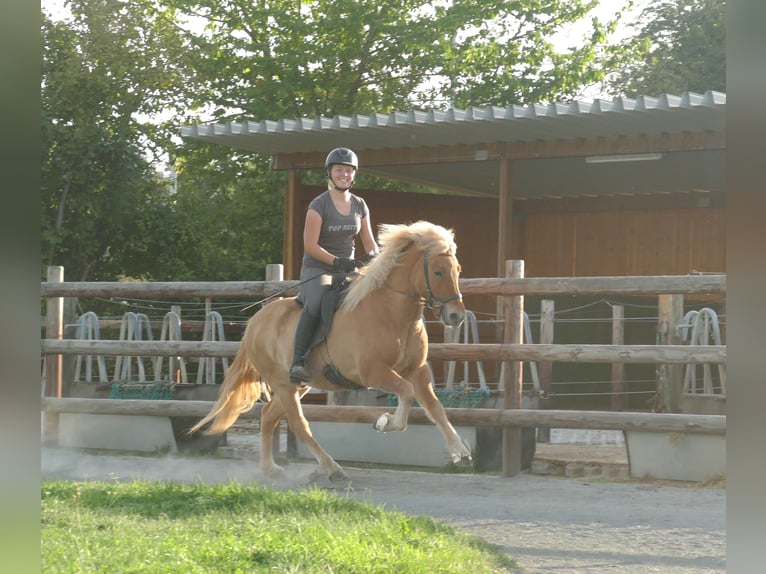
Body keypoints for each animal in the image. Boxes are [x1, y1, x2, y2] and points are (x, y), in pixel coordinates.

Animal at [189, 220, 472, 482]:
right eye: (437, 271)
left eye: (458, 270)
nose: (456, 316)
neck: (392, 314)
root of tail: (255, 322)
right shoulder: (373, 373)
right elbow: (406, 392)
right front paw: (385, 422)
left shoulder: (417, 370)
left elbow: (434, 407)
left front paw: (460, 450)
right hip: (283, 384)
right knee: (299, 425)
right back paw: (332, 468)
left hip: (297, 385)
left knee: (269, 417)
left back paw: (270, 469)